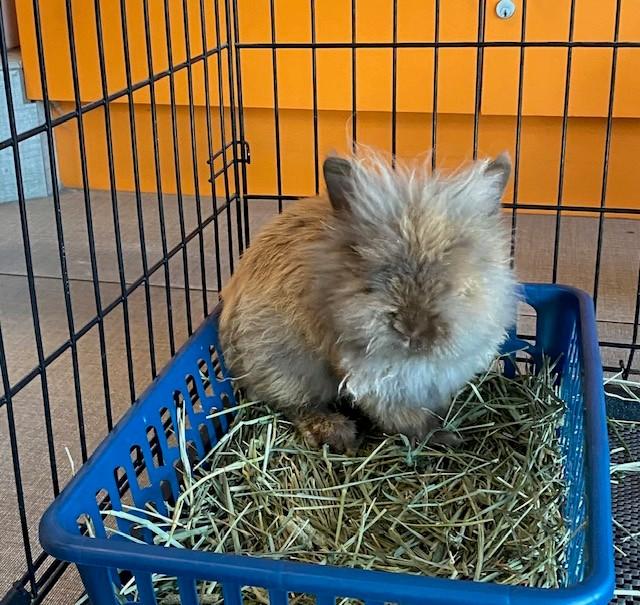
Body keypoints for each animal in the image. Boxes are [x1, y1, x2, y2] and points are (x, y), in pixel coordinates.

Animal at [219, 149, 517, 453]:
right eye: (372, 278)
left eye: (453, 274)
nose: (412, 329)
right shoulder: (377, 383)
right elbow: (406, 420)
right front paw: (444, 438)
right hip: (283, 366)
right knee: (295, 404)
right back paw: (339, 434)